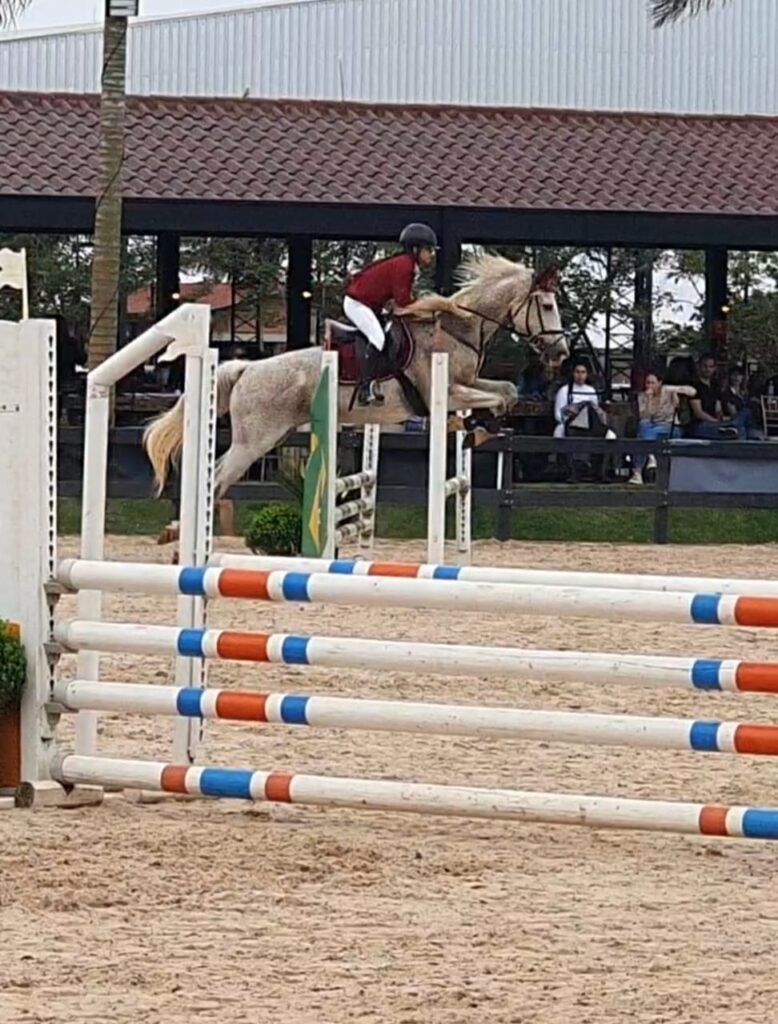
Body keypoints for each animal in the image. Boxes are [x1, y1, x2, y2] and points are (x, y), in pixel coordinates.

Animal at [144, 251, 565, 499]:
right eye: (546, 306)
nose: (560, 353)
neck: (457, 329)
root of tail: (248, 367)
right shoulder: (446, 392)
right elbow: (496, 398)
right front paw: (475, 427)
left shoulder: (468, 384)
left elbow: (507, 391)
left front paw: (476, 428)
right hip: (255, 442)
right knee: (217, 479)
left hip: (270, 437)